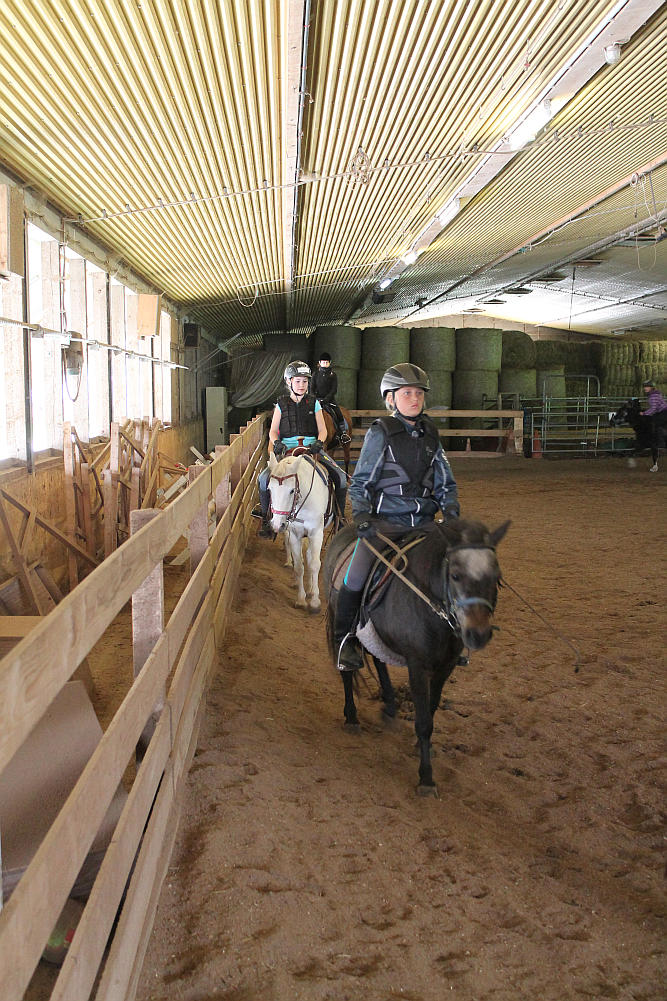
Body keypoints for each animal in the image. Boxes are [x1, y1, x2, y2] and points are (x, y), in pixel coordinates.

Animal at [268, 452, 334, 612]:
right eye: (269, 489)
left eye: (292, 490)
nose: (277, 524)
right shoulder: (294, 534)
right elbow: (299, 566)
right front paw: (301, 599)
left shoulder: (316, 533)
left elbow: (315, 564)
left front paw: (315, 601)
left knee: (310, 557)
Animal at [323, 518, 510, 795]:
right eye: (455, 575)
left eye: (497, 578)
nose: (478, 634)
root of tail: (344, 531)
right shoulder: (418, 665)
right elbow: (423, 722)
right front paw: (426, 778)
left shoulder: (445, 667)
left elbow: (431, 710)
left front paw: (421, 748)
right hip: (341, 619)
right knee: (347, 667)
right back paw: (352, 717)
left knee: (379, 659)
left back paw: (390, 707)